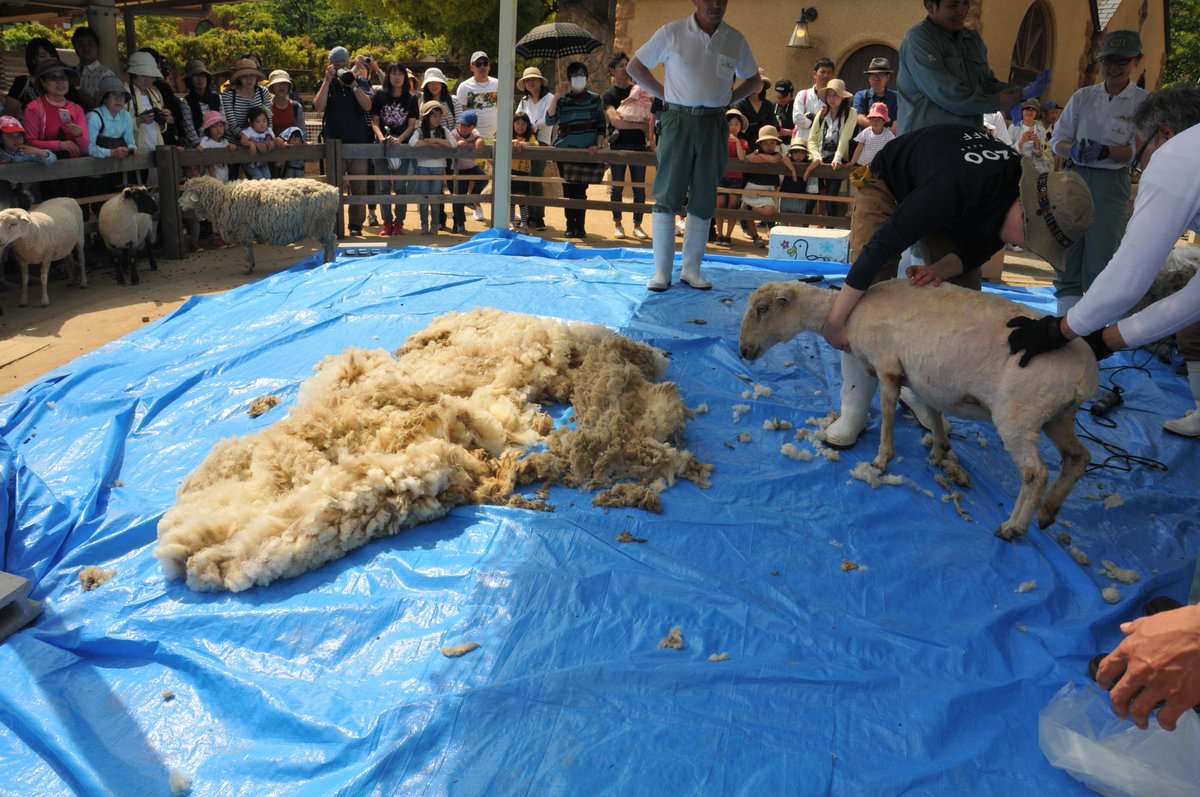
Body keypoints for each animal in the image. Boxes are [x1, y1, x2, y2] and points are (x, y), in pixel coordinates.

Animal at [176, 174, 338, 273]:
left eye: (187, 193)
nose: (178, 204)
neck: (223, 199)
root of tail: (333, 190)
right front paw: (250, 266)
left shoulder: (244, 229)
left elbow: (247, 249)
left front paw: (247, 267)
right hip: (324, 225)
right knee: (330, 242)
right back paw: (326, 262)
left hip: (322, 224)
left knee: (331, 241)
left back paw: (329, 261)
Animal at [739, 279, 1099, 542]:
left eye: (762, 309)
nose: (743, 351)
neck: (850, 311)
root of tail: (1086, 375)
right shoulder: (922, 378)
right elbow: (934, 413)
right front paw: (940, 450)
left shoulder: (886, 366)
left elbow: (887, 413)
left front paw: (882, 459)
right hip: (1058, 415)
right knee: (1078, 457)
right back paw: (1049, 512)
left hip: (1019, 413)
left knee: (1035, 473)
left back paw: (1014, 527)